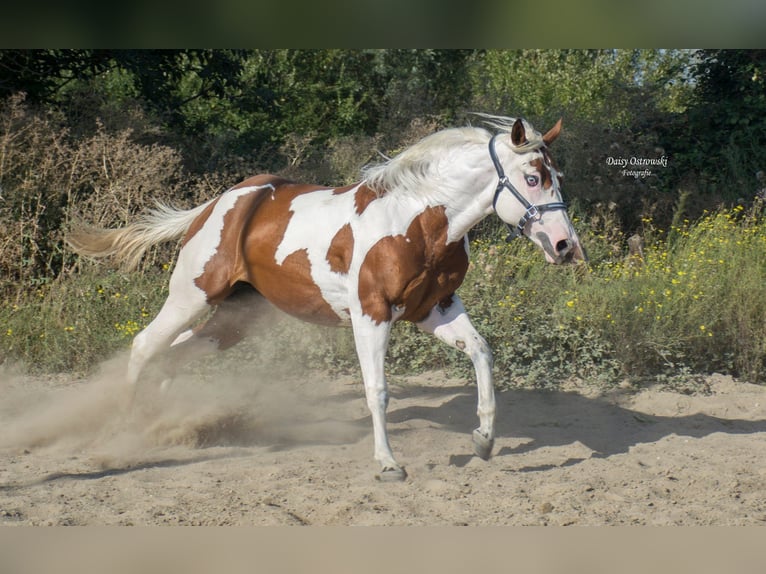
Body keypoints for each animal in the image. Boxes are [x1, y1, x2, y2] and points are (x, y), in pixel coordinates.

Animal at [70, 115, 588, 484]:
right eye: (533, 177)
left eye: (556, 175)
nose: (567, 247)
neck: (418, 222)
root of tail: (218, 205)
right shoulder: (370, 315)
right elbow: (377, 390)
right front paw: (388, 464)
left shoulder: (435, 310)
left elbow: (481, 352)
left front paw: (483, 440)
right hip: (191, 297)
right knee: (144, 346)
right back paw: (123, 433)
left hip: (236, 317)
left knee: (174, 354)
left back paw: (165, 427)